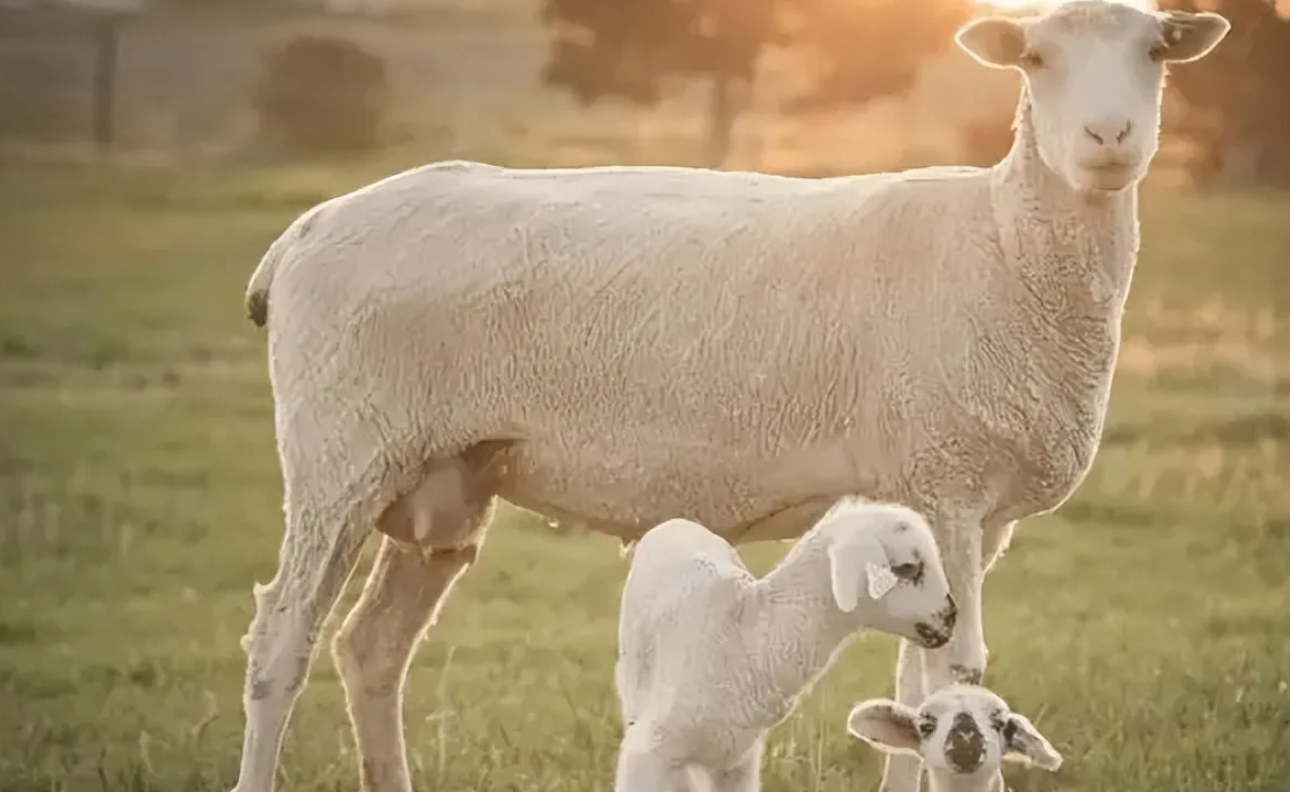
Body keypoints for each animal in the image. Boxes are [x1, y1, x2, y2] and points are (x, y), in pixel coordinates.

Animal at [611, 500, 959, 792]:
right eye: (909, 567)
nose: (951, 617)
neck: (745, 638)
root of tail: (676, 522)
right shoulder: (649, 753)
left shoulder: (739, 761)